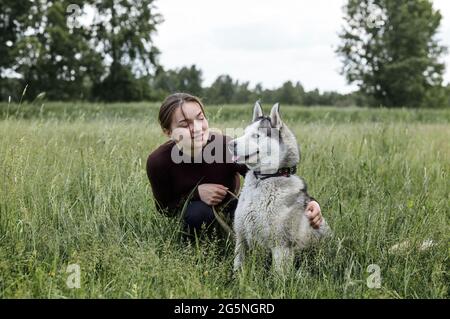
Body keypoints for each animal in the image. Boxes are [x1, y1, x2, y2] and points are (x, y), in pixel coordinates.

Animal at [229, 102, 330, 272]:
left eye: (257, 135)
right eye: (244, 133)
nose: (230, 144)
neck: (262, 180)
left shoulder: (281, 246)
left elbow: (278, 275)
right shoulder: (241, 238)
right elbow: (238, 266)